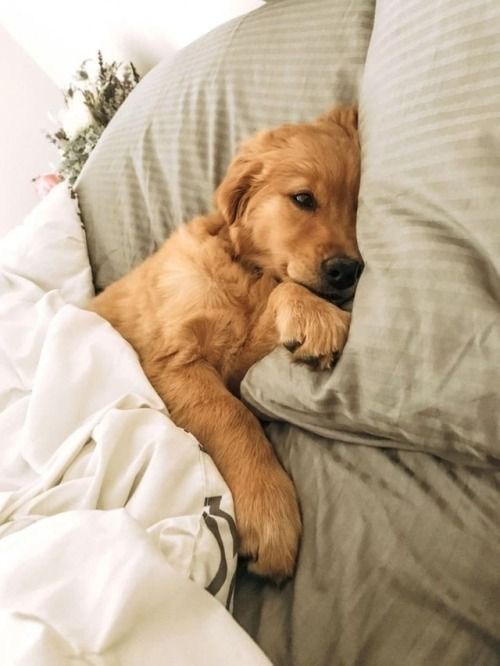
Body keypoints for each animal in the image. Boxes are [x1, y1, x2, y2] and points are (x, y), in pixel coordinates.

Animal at [88, 106, 362, 580]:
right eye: (303, 199)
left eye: (358, 206)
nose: (348, 270)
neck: (243, 268)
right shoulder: (175, 362)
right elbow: (234, 418)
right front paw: (268, 512)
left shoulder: (236, 358)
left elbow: (277, 297)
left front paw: (308, 313)